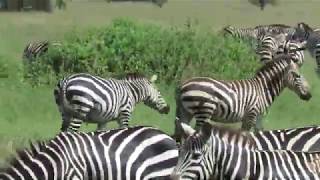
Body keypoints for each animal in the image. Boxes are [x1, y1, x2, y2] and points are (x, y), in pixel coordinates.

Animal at [172, 54, 310, 143]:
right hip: (204, 111)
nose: (309, 95)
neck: (262, 89)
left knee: (179, 134)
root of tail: (182, 85)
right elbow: (246, 136)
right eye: (297, 76)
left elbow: (259, 134)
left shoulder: (258, 117)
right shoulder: (251, 115)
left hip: (185, 112)